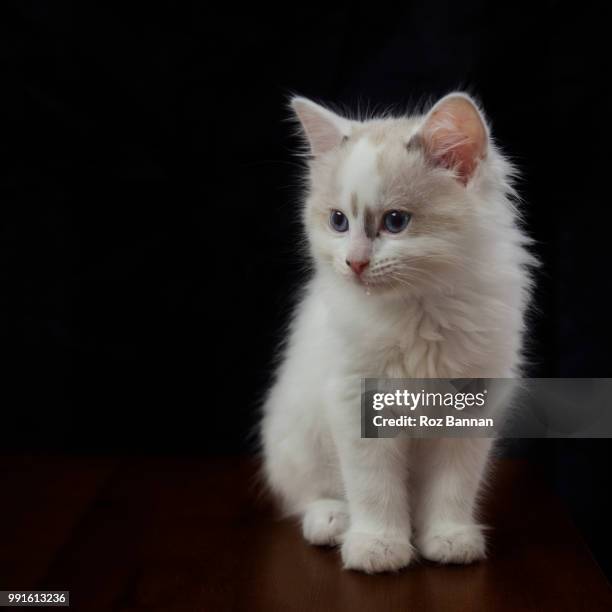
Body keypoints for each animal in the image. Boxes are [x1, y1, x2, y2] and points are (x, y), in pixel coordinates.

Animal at [260, 92, 532, 572]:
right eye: (338, 221)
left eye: (395, 222)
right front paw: (378, 546)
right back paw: (331, 520)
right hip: (295, 434)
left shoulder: (472, 405)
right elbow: (374, 487)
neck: (420, 311)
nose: (354, 263)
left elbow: (453, 485)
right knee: (307, 493)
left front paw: (447, 537)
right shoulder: (355, 398)